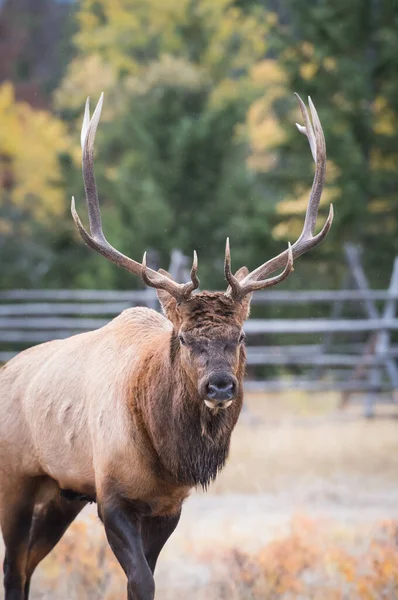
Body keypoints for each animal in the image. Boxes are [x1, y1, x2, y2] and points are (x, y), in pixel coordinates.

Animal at [0, 91, 332, 596]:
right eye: (183, 336)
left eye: (240, 335)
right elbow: (142, 582)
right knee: (12, 567)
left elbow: (145, 579)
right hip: (15, 480)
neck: (166, 458)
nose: (220, 386)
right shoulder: (110, 495)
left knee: (27, 566)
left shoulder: (169, 506)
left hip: (61, 492)